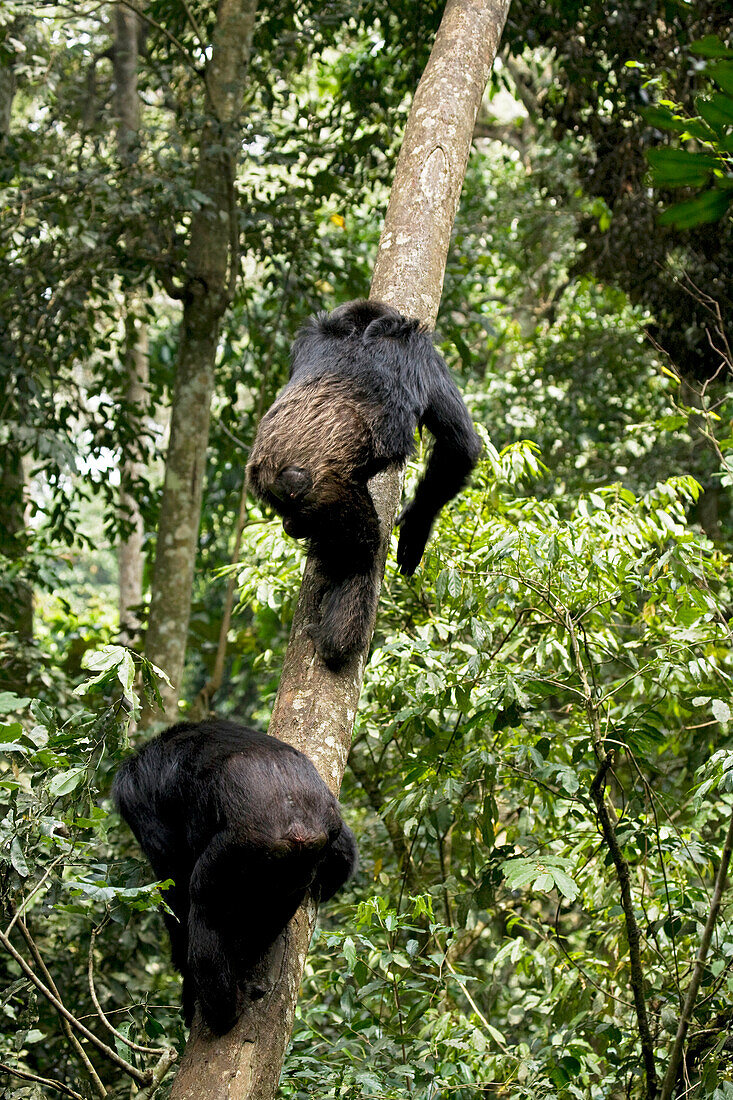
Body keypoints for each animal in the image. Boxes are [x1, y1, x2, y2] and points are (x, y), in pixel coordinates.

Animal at [110, 717, 356, 1034]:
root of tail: (298, 827)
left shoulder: (134, 798)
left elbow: (172, 882)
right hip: (300, 858)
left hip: (237, 851)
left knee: (204, 906)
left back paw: (220, 1008)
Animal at [245, 297, 482, 664]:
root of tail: (278, 474)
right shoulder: (425, 355)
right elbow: (459, 447)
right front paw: (415, 529)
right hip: (330, 496)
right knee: (364, 550)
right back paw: (336, 641)